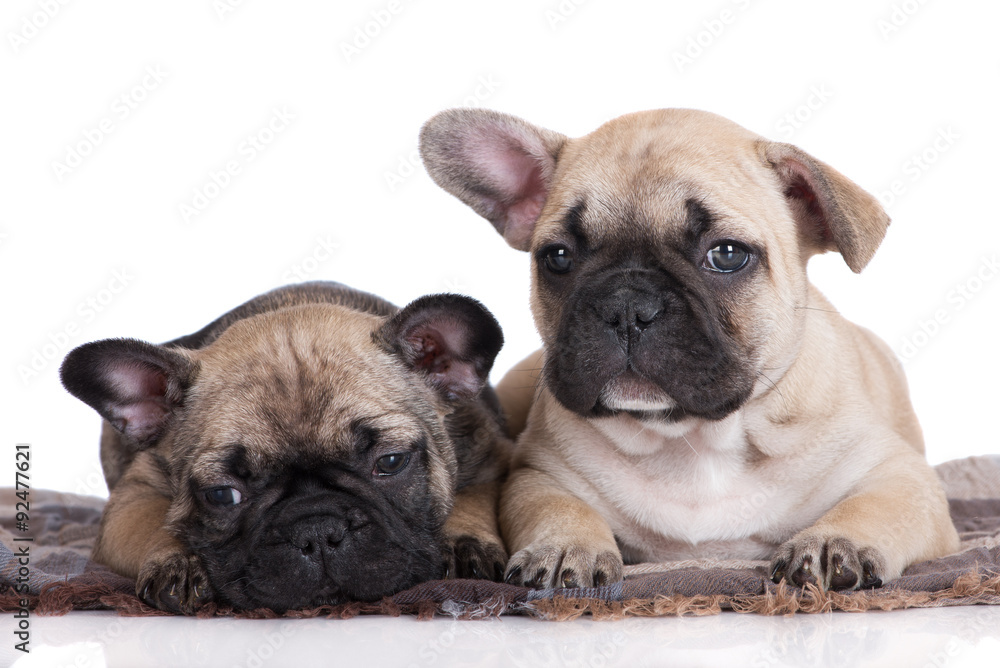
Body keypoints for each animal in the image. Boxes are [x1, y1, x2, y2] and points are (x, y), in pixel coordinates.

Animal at [59, 280, 512, 612]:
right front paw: (178, 561)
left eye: (391, 461)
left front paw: (463, 541)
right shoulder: (132, 497)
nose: (316, 530)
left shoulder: (489, 459)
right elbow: (152, 520)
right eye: (222, 495)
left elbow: (473, 498)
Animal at [416, 108, 960, 588]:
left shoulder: (902, 476)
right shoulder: (538, 473)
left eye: (727, 255)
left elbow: (876, 505)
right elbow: (556, 505)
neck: (694, 440)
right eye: (558, 258)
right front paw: (567, 545)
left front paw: (831, 541)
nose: (627, 306)